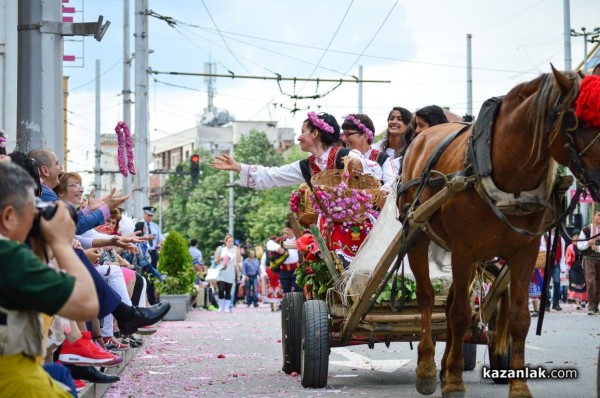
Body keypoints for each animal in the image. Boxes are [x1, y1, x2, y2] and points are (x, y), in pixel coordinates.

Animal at [398, 67, 600, 396]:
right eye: (576, 122)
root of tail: (420, 137)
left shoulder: (525, 252)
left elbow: (518, 318)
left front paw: (518, 386)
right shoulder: (464, 250)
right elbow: (460, 314)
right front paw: (454, 382)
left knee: (451, 303)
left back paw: (445, 365)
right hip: (418, 232)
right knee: (428, 298)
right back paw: (427, 368)